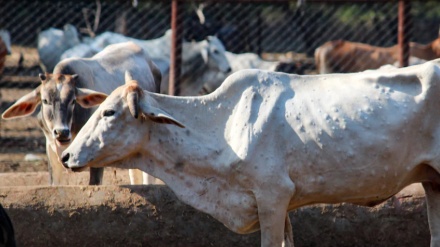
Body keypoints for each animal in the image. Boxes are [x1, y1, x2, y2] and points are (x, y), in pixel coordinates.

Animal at [62, 60, 440, 247]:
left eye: (109, 112)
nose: (66, 156)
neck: (224, 124)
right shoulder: (281, 202)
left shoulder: (273, 195)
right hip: (433, 182)